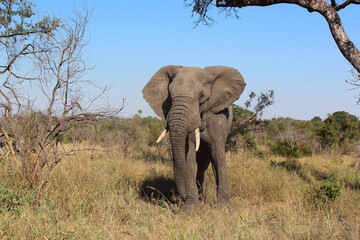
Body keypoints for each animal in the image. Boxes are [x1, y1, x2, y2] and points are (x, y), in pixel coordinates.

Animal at [142, 65, 246, 210]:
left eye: (201, 96)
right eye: (170, 96)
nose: (182, 197)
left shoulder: (219, 116)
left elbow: (218, 153)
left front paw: (225, 208)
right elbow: (189, 155)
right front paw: (191, 208)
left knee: (206, 162)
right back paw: (201, 198)